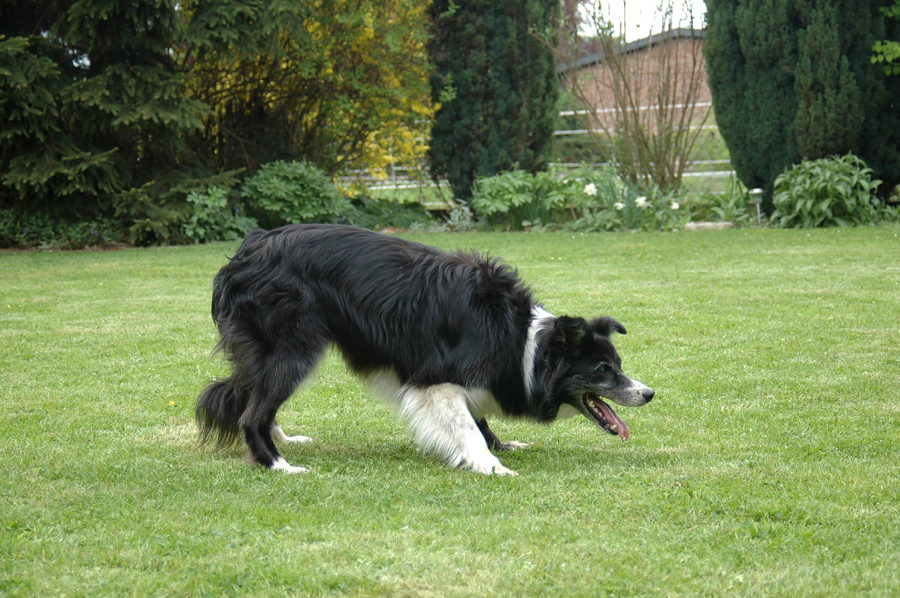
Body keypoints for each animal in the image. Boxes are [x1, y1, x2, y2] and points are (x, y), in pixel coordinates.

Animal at [195, 225, 652, 478]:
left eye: (618, 365)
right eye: (603, 369)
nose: (649, 393)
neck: (523, 340)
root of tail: (248, 249)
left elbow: (478, 416)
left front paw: (500, 446)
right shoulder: (435, 378)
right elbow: (467, 425)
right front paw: (491, 465)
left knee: (252, 398)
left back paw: (286, 439)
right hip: (296, 347)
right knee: (253, 412)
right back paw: (279, 465)